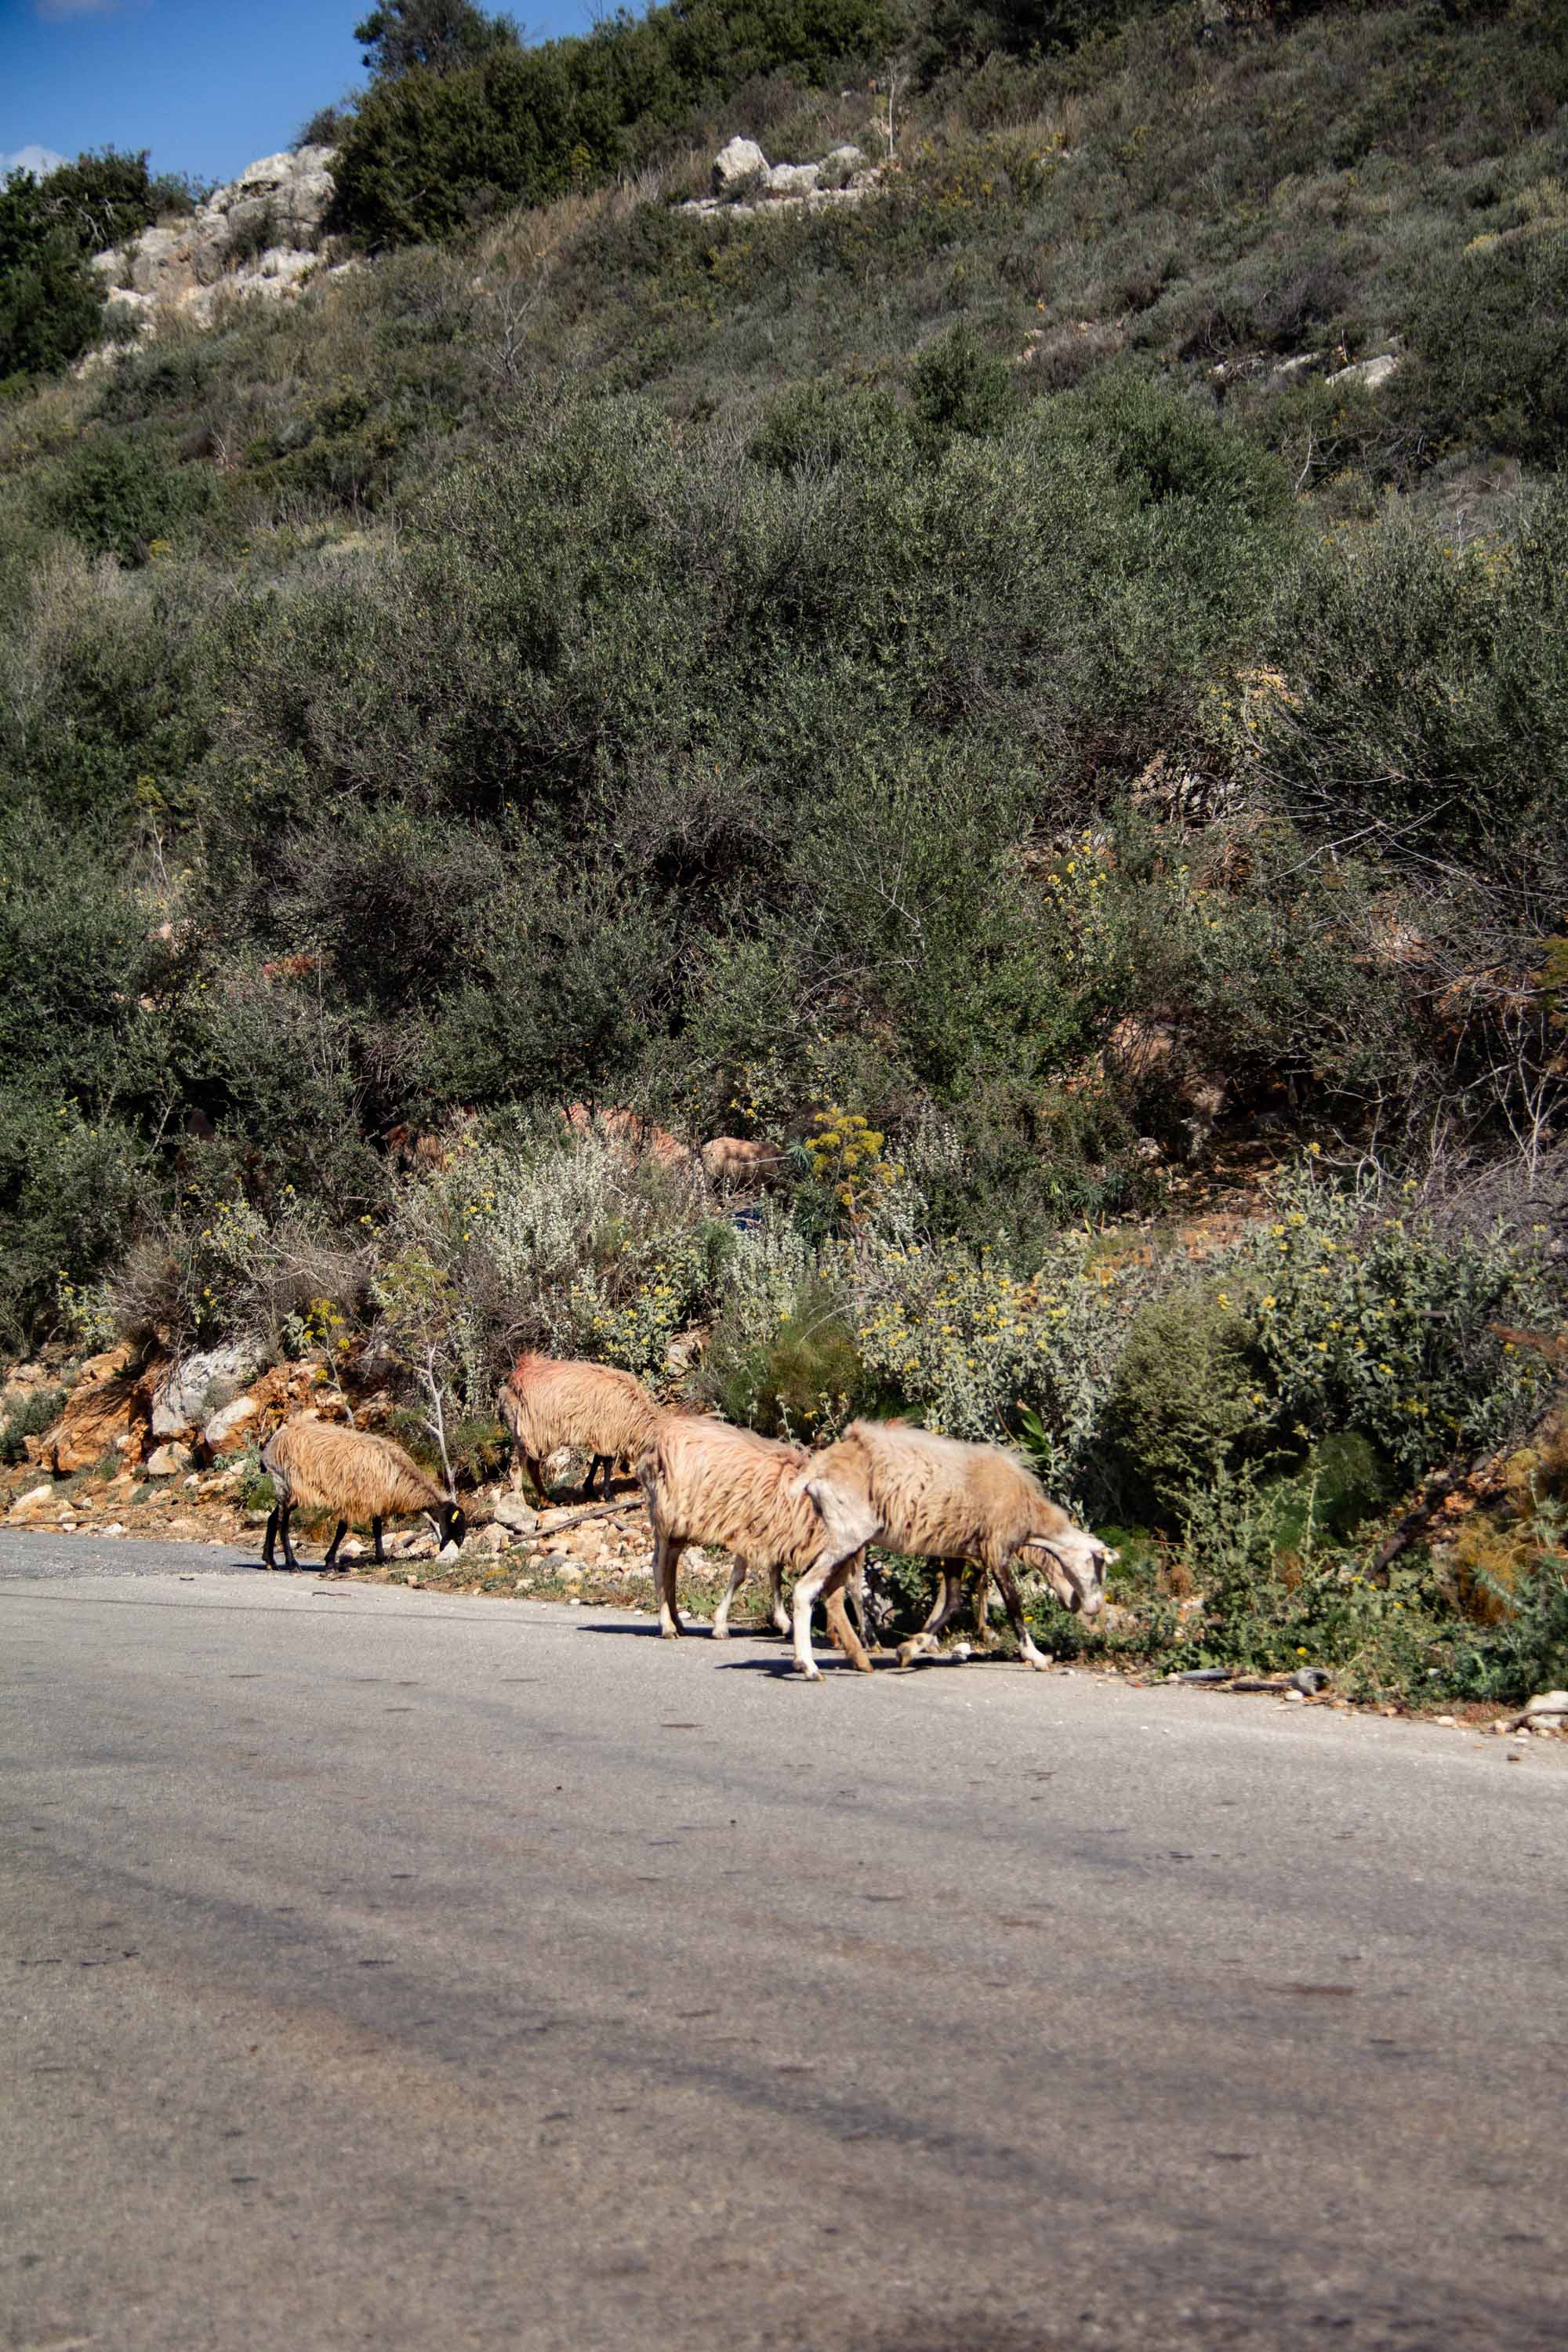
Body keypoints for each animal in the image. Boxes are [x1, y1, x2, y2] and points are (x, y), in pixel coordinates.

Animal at [260, 1414, 466, 1572]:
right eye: (456, 1526)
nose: (457, 1547)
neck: (397, 1473)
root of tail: (270, 1447)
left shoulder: (374, 1500)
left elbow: (377, 1529)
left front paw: (381, 1558)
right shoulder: (353, 1500)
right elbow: (342, 1531)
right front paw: (330, 1563)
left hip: (286, 1490)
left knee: (273, 1518)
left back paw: (270, 1561)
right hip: (287, 1484)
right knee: (283, 1523)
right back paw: (292, 1564)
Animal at [497, 1352, 662, 1505]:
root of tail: (509, 1385)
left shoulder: (599, 1432)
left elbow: (597, 1459)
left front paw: (589, 1487)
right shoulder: (607, 1432)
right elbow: (607, 1462)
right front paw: (608, 1495)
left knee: (532, 1466)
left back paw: (546, 1501)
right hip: (525, 1433)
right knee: (516, 1467)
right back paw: (521, 1503)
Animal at [636, 1415, 869, 1668]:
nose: (865, 1639)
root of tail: (655, 1442)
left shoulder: (770, 1532)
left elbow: (773, 1573)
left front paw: (782, 1622)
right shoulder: (752, 1531)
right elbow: (741, 1577)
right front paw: (721, 1625)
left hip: (680, 1525)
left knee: (670, 1565)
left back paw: (677, 1622)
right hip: (664, 1512)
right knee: (659, 1566)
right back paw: (667, 1626)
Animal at [796, 1419, 1112, 1680]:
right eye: (1098, 1569)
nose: (1095, 1609)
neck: (1030, 1515)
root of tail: (818, 1469)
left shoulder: (955, 1551)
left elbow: (952, 1604)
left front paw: (910, 1648)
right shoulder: (997, 1549)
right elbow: (1014, 1605)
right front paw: (1036, 1657)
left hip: (848, 1541)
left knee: (832, 1593)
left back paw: (856, 1659)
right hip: (847, 1536)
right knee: (805, 1589)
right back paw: (809, 1667)